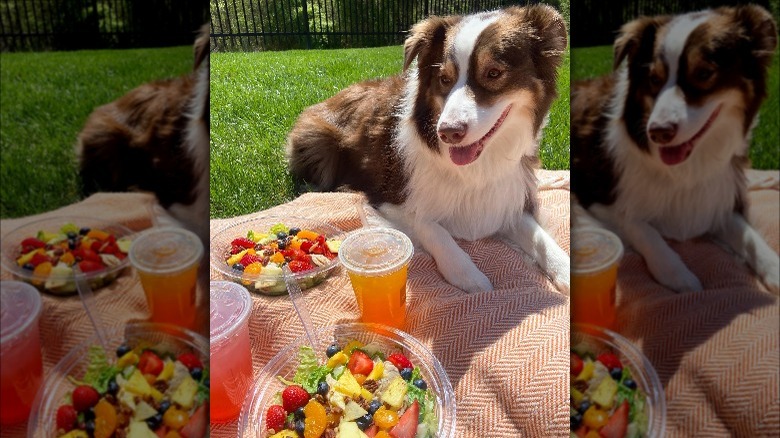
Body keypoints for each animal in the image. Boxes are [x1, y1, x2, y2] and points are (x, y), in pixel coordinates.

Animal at [286, 5, 572, 292]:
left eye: (493, 73)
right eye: (444, 78)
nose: (448, 133)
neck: (475, 167)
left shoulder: (506, 199)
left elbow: (540, 238)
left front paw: (566, 270)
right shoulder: (387, 198)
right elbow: (432, 227)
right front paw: (469, 275)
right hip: (317, 144)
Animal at [568, 5, 780, 292]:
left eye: (703, 74)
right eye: (654, 78)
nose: (658, 133)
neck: (683, 168)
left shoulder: (715, 198)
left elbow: (749, 236)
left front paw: (774, 267)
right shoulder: (596, 197)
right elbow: (642, 227)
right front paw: (676, 272)